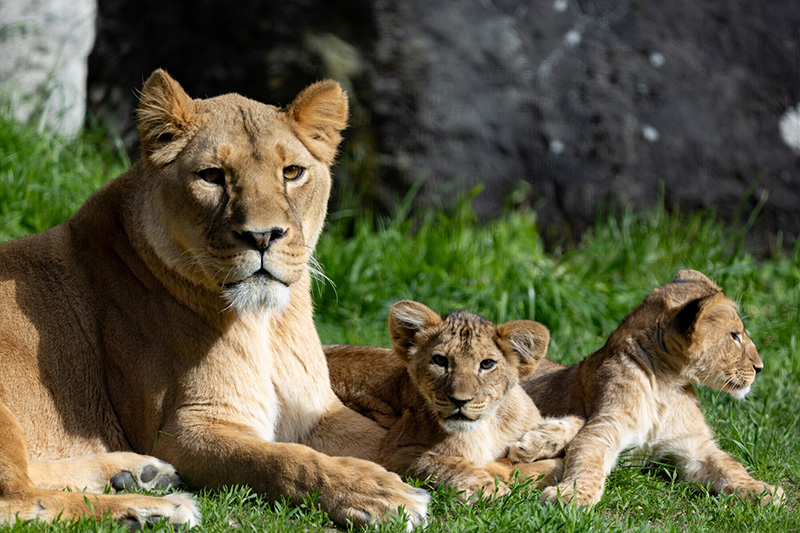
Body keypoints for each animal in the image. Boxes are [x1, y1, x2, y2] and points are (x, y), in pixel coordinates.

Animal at [0, 69, 429, 529]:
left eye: (292, 172)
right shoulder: (182, 431)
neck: (266, 323)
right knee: (19, 499)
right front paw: (377, 493)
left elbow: (386, 441)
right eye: (211, 176)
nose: (263, 236)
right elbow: (285, 460)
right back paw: (155, 510)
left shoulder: (316, 412)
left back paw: (136, 472)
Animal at [326, 300, 584, 500]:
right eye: (440, 361)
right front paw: (490, 488)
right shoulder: (394, 452)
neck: (486, 426)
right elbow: (445, 463)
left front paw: (534, 443)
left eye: (487, 364)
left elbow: (577, 424)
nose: (461, 400)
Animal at [523, 269, 785, 507]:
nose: (760, 367)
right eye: (734, 336)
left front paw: (762, 490)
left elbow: (729, 465)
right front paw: (571, 496)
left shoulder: (695, 446)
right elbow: (587, 462)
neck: (665, 387)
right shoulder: (604, 427)